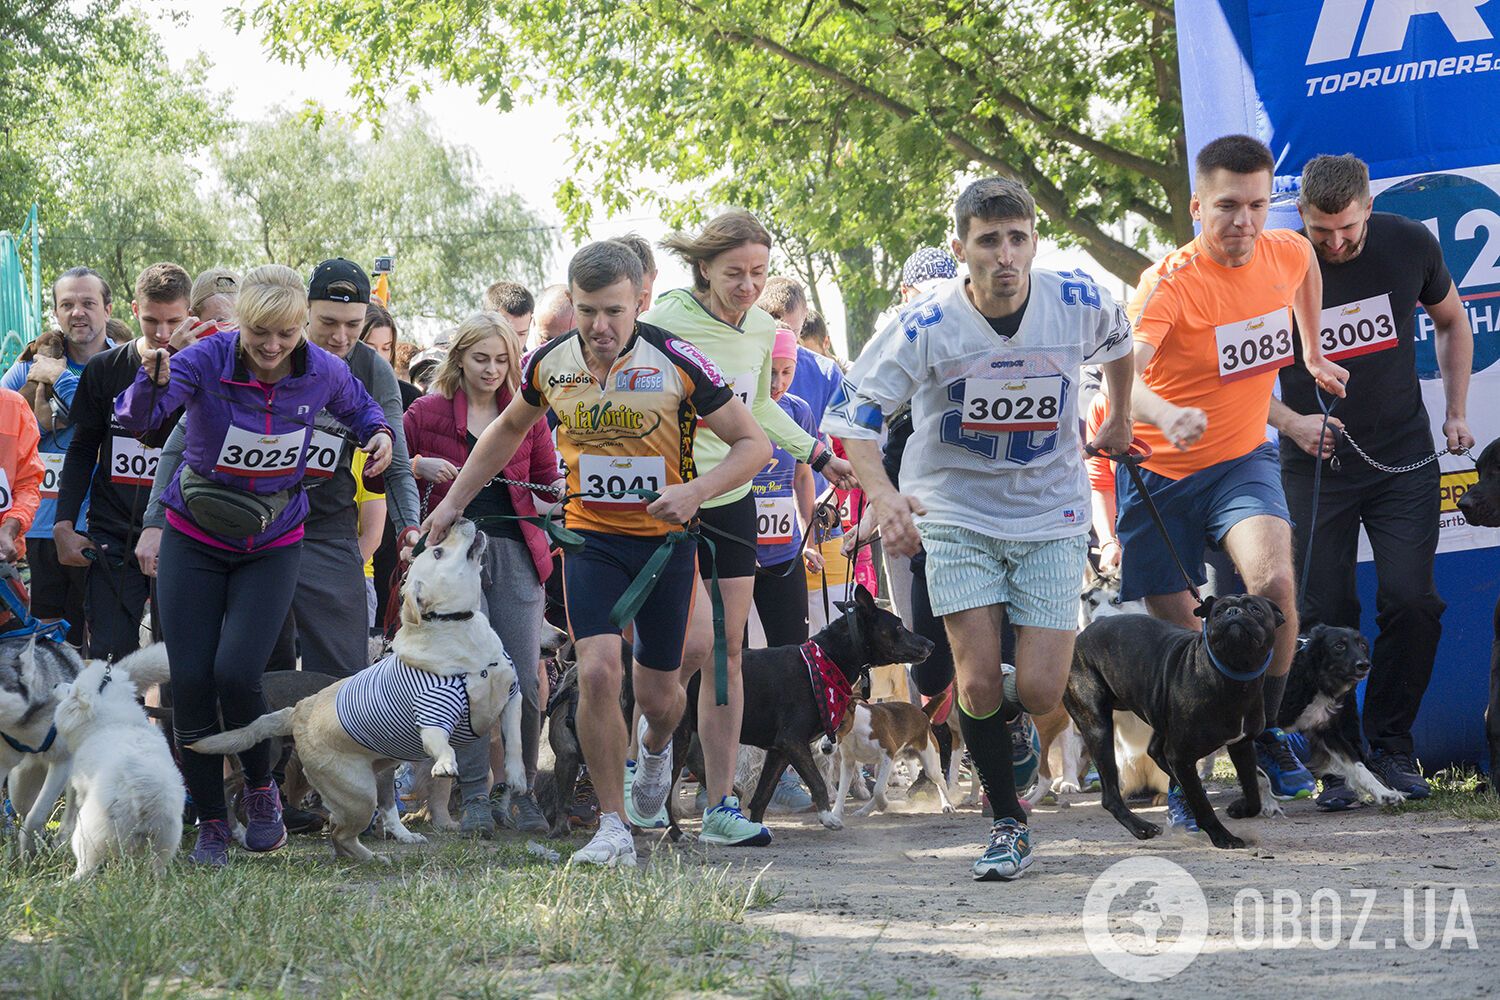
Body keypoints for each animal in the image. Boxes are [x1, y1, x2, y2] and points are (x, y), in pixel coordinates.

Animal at [52, 659, 181, 881]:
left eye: (70, 690)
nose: (54, 685)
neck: (114, 720)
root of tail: (146, 797)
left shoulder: (80, 786)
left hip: (87, 834)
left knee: (86, 866)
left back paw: (68, 881)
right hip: (165, 840)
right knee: (158, 866)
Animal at [193, 524, 522, 863]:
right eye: (438, 551)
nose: (459, 522)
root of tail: (295, 711)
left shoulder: (509, 698)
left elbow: (513, 739)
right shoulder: (422, 729)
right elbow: (418, 774)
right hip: (296, 768)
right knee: (242, 794)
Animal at [1062, 593, 1284, 851]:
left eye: (1256, 609)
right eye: (1218, 611)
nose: (1234, 613)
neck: (1233, 677)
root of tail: (1081, 637)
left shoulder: (1241, 745)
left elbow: (1251, 790)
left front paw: (1241, 808)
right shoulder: (1182, 756)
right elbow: (1202, 804)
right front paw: (1222, 836)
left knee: (1155, 752)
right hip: (1098, 729)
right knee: (1112, 795)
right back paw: (1141, 826)